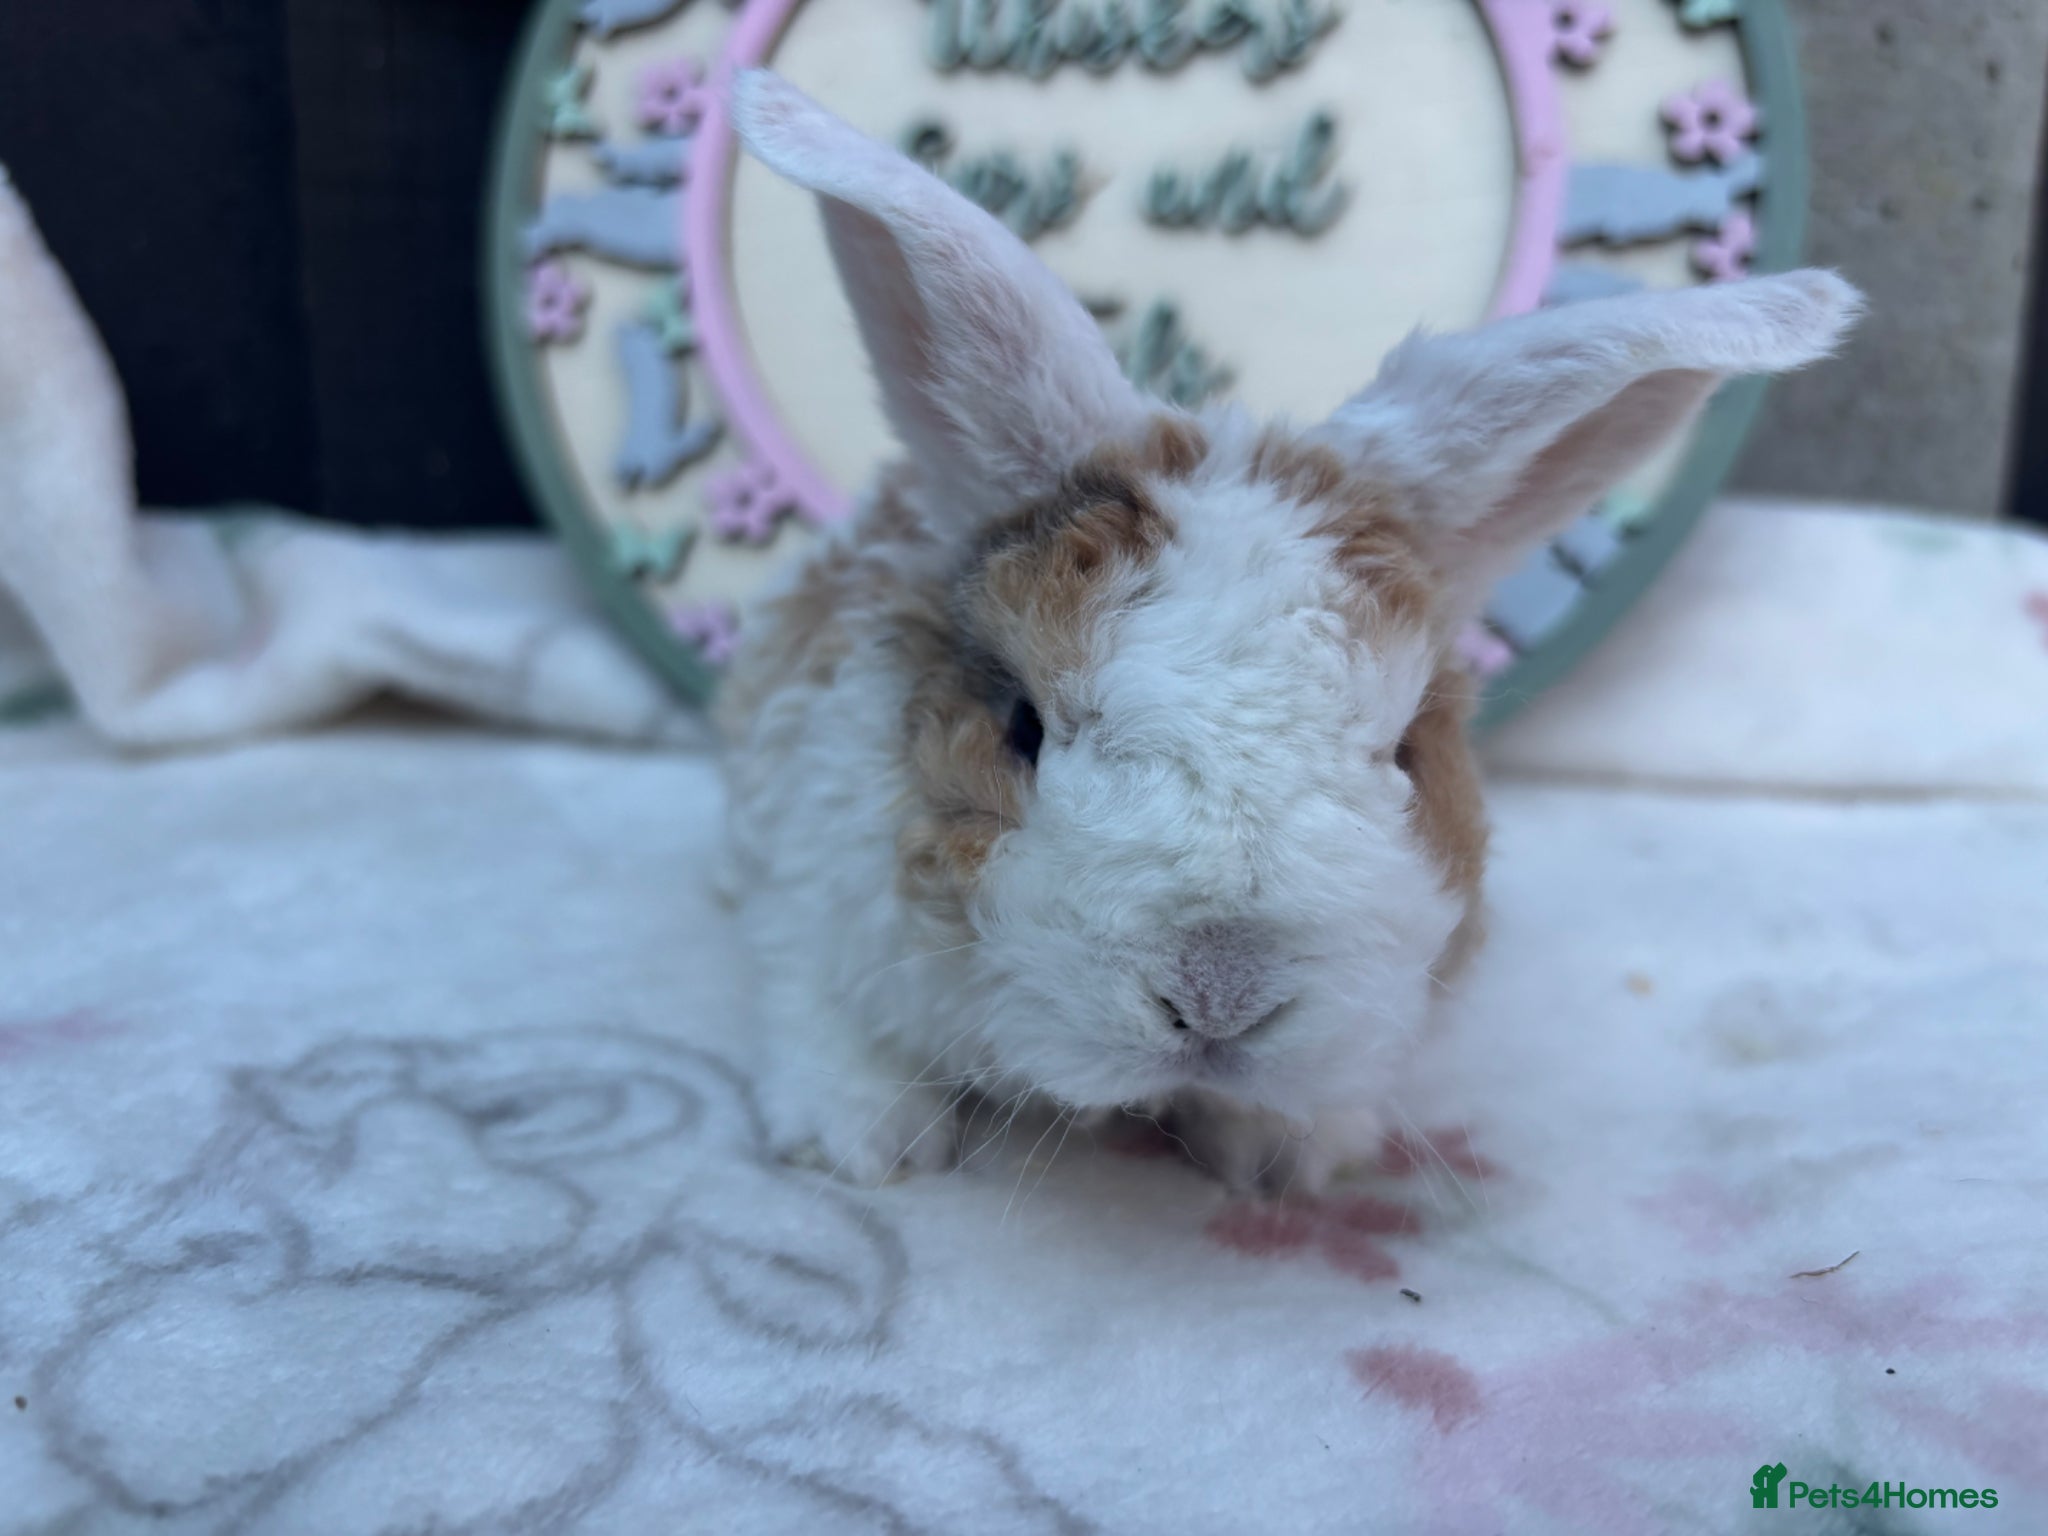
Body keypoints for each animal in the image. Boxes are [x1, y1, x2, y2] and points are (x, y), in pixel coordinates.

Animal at [714, 71, 1862, 1190]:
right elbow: (814, 1006)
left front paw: (1293, 1159)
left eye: (1404, 752)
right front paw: (858, 1144)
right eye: (1021, 729)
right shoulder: (805, 885)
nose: (1220, 996)